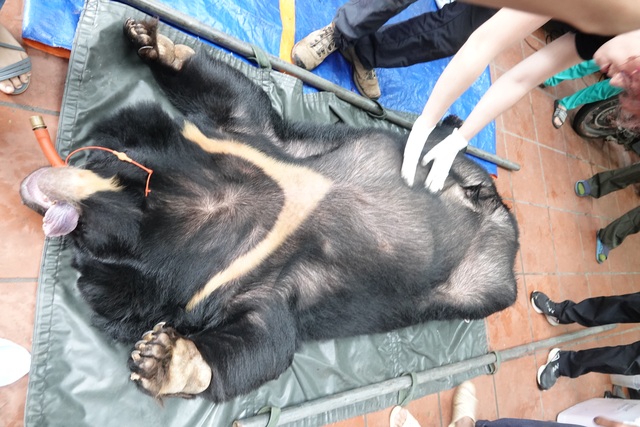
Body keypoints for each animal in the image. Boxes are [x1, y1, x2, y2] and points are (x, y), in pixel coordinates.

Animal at [20, 18, 520, 402]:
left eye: (97, 160)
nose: (33, 186)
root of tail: (502, 226)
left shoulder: (253, 145)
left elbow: (237, 98)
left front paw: (160, 359)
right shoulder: (239, 279)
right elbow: (265, 340)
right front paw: (163, 357)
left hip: (478, 278)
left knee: (444, 152)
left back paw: (454, 131)